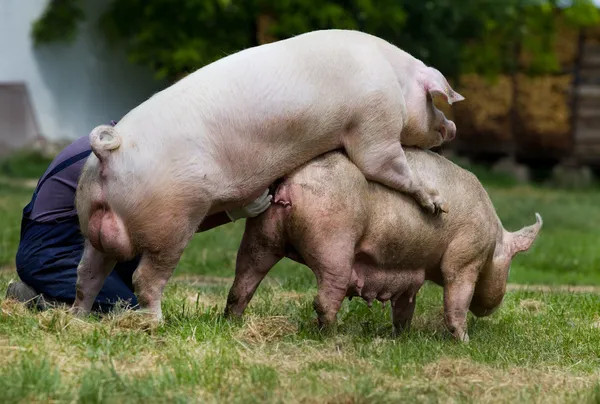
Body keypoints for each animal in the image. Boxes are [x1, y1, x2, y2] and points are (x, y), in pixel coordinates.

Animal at [71, 28, 464, 320]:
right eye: (433, 101)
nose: (453, 127)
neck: (395, 79)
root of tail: (109, 154)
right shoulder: (374, 124)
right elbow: (383, 164)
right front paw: (438, 205)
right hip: (170, 222)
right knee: (144, 278)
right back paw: (156, 323)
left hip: (92, 222)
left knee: (86, 275)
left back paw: (78, 320)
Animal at [225, 148, 544, 340]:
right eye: (511, 262)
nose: (491, 308)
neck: (493, 238)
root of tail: (289, 181)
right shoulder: (465, 256)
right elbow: (456, 298)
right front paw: (463, 342)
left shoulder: (410, 273)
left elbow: (404, 306)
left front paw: (403, 337)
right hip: (334, 241)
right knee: (325, 297)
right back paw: (334, 335)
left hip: (261, 236)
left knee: (242, 284)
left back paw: (231, 322)